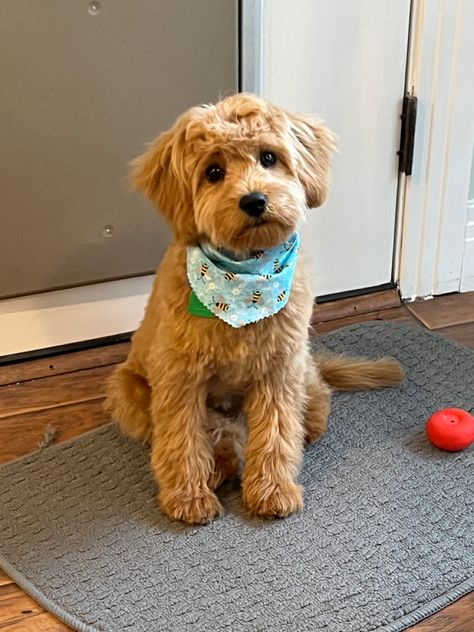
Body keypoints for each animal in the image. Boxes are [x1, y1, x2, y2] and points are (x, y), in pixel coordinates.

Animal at [104, 94, 404, 524]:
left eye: (268, 157)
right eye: (213, 171)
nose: (254, 200)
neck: (243, 285)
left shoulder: (278, 369)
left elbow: (276, 433)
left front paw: (272, 490)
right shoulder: (180, 377)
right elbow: (182, 438)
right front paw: (188, 496)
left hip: (301, 367)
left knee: (315, 398)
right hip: (129, 391)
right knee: (210, 433)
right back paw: (220, 466)